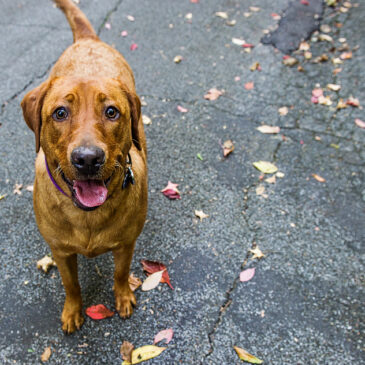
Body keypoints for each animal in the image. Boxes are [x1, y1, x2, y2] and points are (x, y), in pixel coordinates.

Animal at [19, 0, 147, 332]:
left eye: (112, 112)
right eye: (60, 112)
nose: (88, 158)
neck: (87, 216)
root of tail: (89, 39)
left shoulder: (126, 244)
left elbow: (120, 273)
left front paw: (123, 297)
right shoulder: (61, 252)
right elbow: (71, 284)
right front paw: (72, 311)